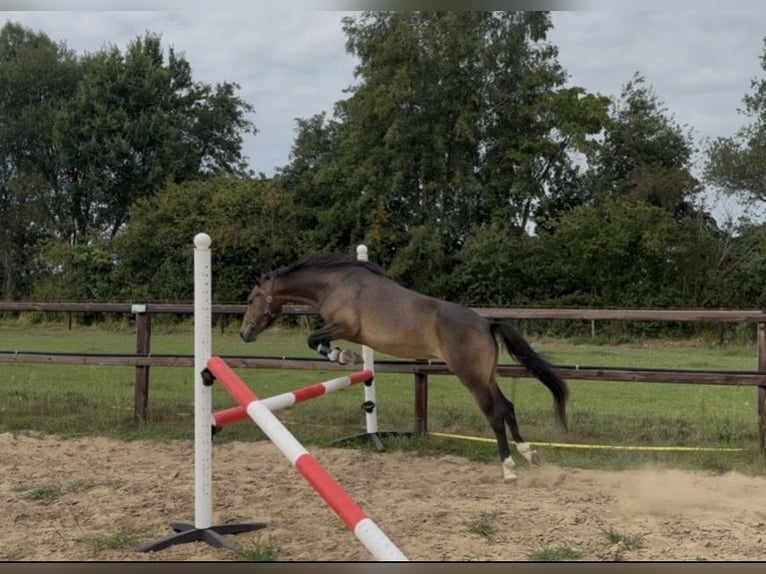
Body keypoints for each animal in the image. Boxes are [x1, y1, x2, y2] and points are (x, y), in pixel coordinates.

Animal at [239, 252, 569, 481]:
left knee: (495, 414)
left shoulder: (344, 327)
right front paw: (346, 357)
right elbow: (316, 340)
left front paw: (345, 357)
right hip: (486, 377)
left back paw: (509, 468)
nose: (245, 334)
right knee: (508, 407)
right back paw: (530, 453)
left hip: (471, 379)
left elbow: (314, 339)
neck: (336, 284)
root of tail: (487, 324)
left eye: (253, 297)